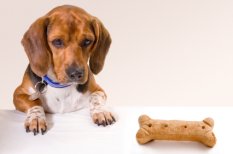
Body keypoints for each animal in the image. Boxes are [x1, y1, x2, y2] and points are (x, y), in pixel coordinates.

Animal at [13, 4, 115, 135]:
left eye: (87, 41)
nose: (76, 73)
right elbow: (34, 102)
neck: (61, 86)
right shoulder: (18, 93)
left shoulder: (99, 90)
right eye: (57, 41)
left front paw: (101, 111)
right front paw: (36, 118)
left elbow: (95, 98)